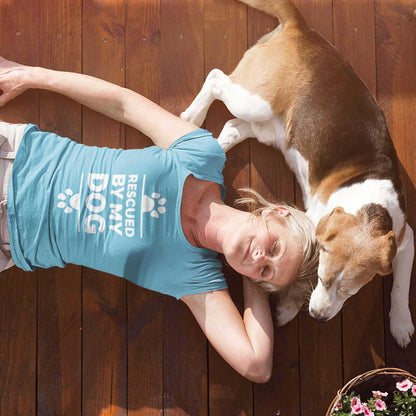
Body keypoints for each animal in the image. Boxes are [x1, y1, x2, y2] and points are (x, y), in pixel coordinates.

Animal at [180, 0, 414, 348]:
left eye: (352, 291)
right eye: (322, 278)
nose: (317, 317)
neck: (368, 208)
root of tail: (302, 29)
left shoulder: (404, 238)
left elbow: (400, 286)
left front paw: (400, 322)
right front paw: (290, 308)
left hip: (268, 127)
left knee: (232, 127)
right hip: (254, 101)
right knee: (216, 78)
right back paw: (193, 116)